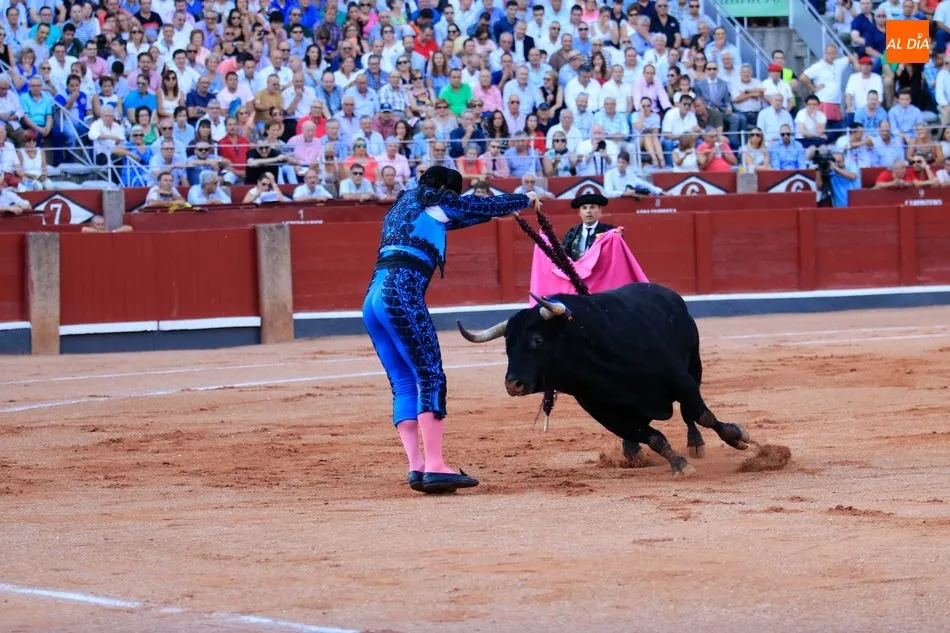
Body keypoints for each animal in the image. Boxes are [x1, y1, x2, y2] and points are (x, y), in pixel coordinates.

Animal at [457, 282, 750, 476]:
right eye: (507, 347)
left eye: (537, 340)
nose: (512, 384)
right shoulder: (606, 413)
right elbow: (653, 437)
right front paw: (679, 464)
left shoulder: (679, 379)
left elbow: (703, 415)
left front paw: (737, 437)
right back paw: (633, 453)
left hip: (694, 364)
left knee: (690, 416)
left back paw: (696, 444)